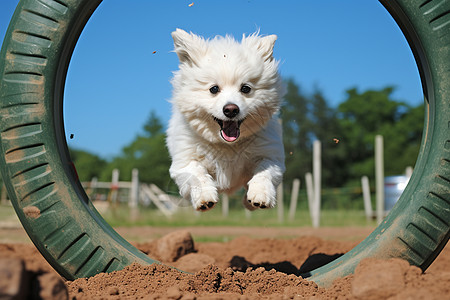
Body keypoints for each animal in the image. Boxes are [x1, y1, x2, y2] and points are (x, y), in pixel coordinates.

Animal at [165, 28, 284, 211]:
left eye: (245, 88)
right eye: (214, 89)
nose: (231, 109)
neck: (228, 146)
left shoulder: (270, 155)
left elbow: (264, 172)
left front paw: (260, 196)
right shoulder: (184, 161)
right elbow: (197, 174)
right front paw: (205, 198)